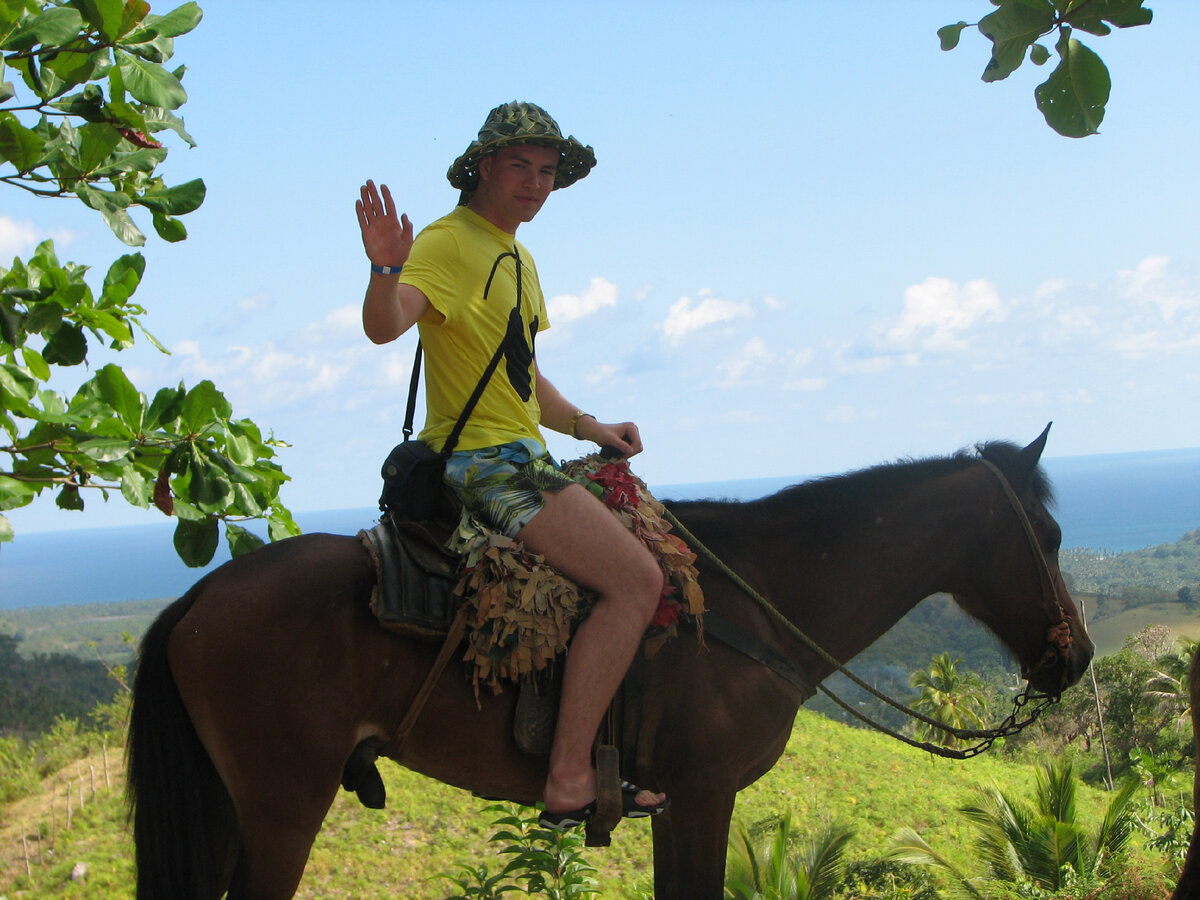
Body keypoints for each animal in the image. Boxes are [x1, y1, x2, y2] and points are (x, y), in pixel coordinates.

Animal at [126, 427, 1094, 897]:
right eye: (1048, 536)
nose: (1077, 658)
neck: (757, 601)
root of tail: (199, 600)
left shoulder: (671, 804)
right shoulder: (702, 795)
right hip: (282, 806)